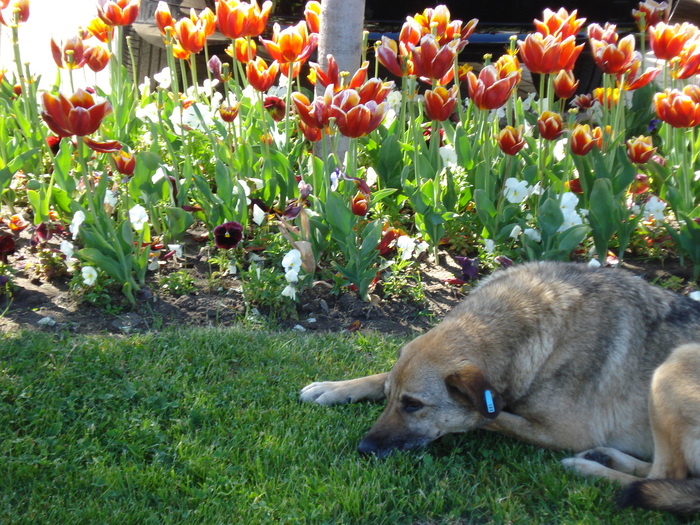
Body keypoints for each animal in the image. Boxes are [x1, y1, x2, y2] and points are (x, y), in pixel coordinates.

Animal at [302, 262, 700, 512]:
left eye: (414, 405)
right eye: (390, 401)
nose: (364, 448)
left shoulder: (565, 432)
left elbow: (490, 417)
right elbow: (381, 373)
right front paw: (334, 387)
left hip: (675, 363)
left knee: (666, 476)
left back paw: (588, 468)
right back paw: (604, 458)